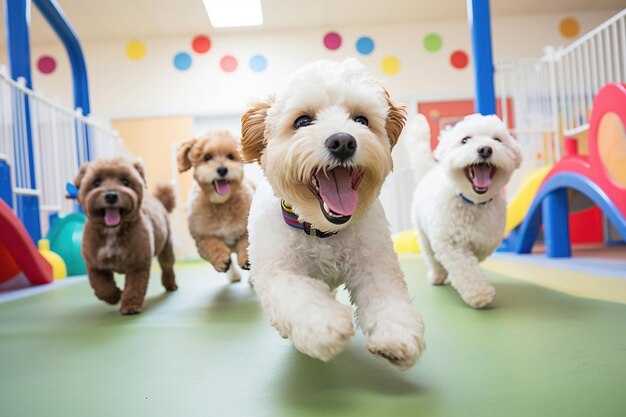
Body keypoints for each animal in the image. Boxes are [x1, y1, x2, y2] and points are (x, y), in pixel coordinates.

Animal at [238, 57, 424, 368]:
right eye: (302, 121)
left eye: (361, 120)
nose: (343, 141)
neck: (322, 230)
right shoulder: (278, 269)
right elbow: (298, 296)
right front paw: (325, 324)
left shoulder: (376, 262)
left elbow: (388, 298)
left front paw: (397, 335)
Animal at [408, 112, 520, 308]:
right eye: (465, 140)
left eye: (497, 140)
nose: (485, 149)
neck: (474, 203)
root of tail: (429, 172)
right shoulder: (451, 243)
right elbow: (465, 268)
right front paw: (480, 293)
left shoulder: (488, 240)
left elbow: (476, 257)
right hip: (423, 233)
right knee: (431, 257)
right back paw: (437, 275)